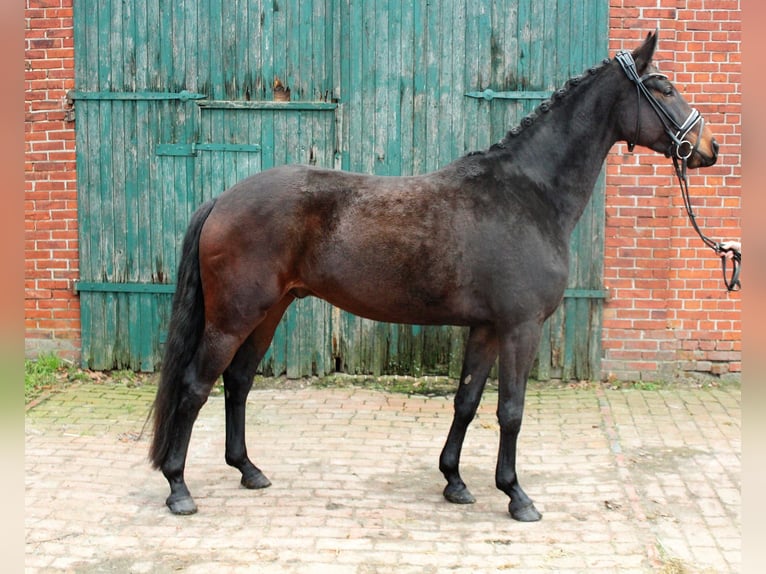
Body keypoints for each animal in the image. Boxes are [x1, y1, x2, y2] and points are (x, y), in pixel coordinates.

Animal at [150, 33, 720, 524]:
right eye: (663, 88)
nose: (708, 146)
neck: (528, 195)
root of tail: (223, 199)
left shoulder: (486, 328)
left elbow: (466, 402)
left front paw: (455, 482)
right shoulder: (521, 328)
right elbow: (511, 410)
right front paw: (517, 495)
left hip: (269, 311)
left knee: (238, 382)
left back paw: (248, 470)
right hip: (233, 317)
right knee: (196, 386)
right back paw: (178, 488)